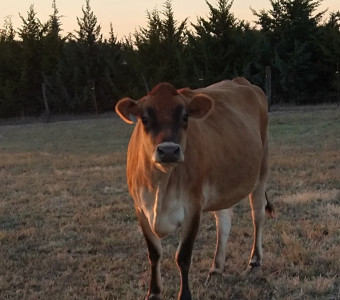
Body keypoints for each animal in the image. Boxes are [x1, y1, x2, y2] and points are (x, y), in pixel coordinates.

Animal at [115, 78, 274, 300]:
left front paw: (184, 295)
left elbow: (183, 256)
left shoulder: (193, 206)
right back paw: (216, 269)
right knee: (224, 221)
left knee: (257, 215)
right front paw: (153, 292)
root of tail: (240, 81)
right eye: (144, 118)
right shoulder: (140, 208)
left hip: (262, 169)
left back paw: (255, 261)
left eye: (185, 116)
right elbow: (154, 253)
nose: (169, 150)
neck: (161, 186)